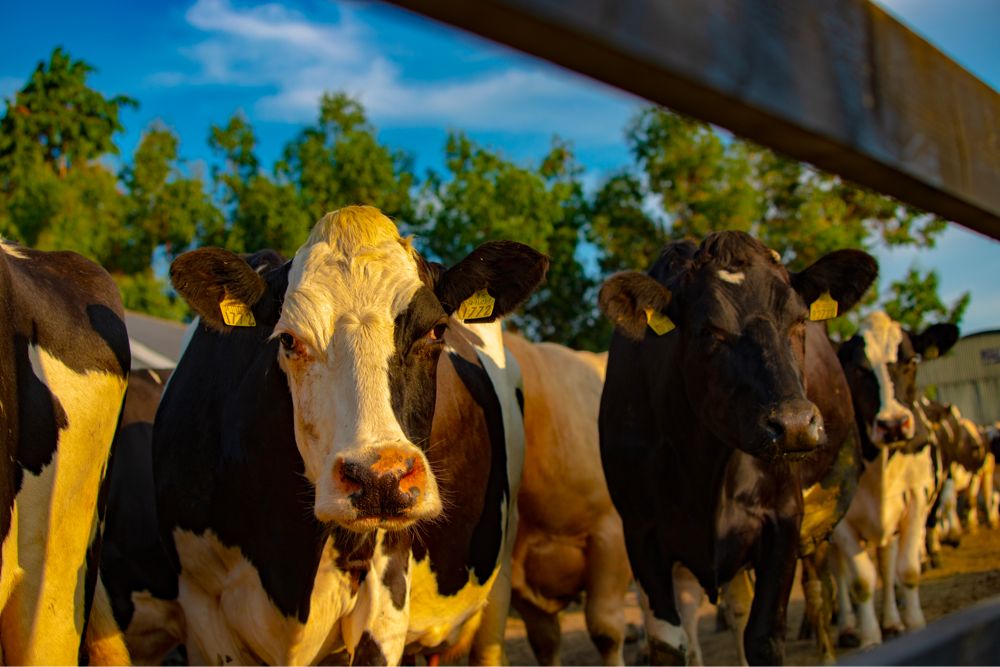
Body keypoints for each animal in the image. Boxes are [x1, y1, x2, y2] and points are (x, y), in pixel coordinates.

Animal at [598, 231, 876, 665]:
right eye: (708, 330)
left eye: (800, 320)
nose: (794, 423)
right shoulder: (640, 532)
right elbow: (668, 643)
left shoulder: (784, 519)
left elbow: (763, 636)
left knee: (816, 587)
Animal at [832, 312, 958, 648]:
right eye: (858, 368)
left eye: (911, 361)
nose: (892, 425)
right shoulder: (840, 518)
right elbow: (861, 581)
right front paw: (869, 638)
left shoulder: (917, 497)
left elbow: (907, 571)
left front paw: (913, 625)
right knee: (840, 572)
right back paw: (848, 626)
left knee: (887, 564)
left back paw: (892, 621)